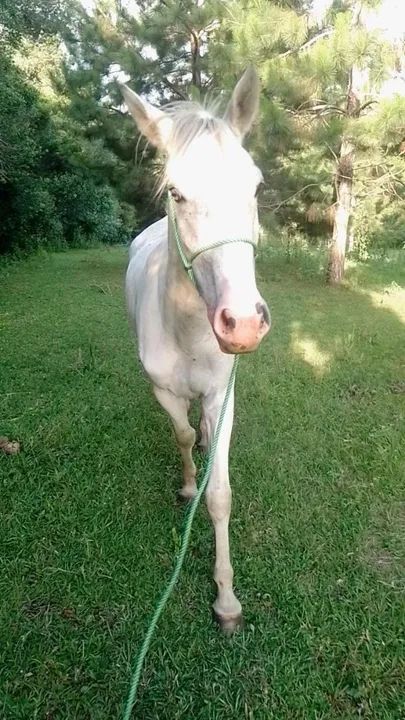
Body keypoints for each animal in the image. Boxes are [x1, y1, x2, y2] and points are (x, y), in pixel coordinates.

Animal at [121, 66, 270, 634]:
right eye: (176, 193)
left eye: (255, 185)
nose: (243, 323)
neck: (187, 331)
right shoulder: (162, 390)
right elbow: (181, 434)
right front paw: (187, 485)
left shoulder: (222, 397)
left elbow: (220, 495)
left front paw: (226, 600)